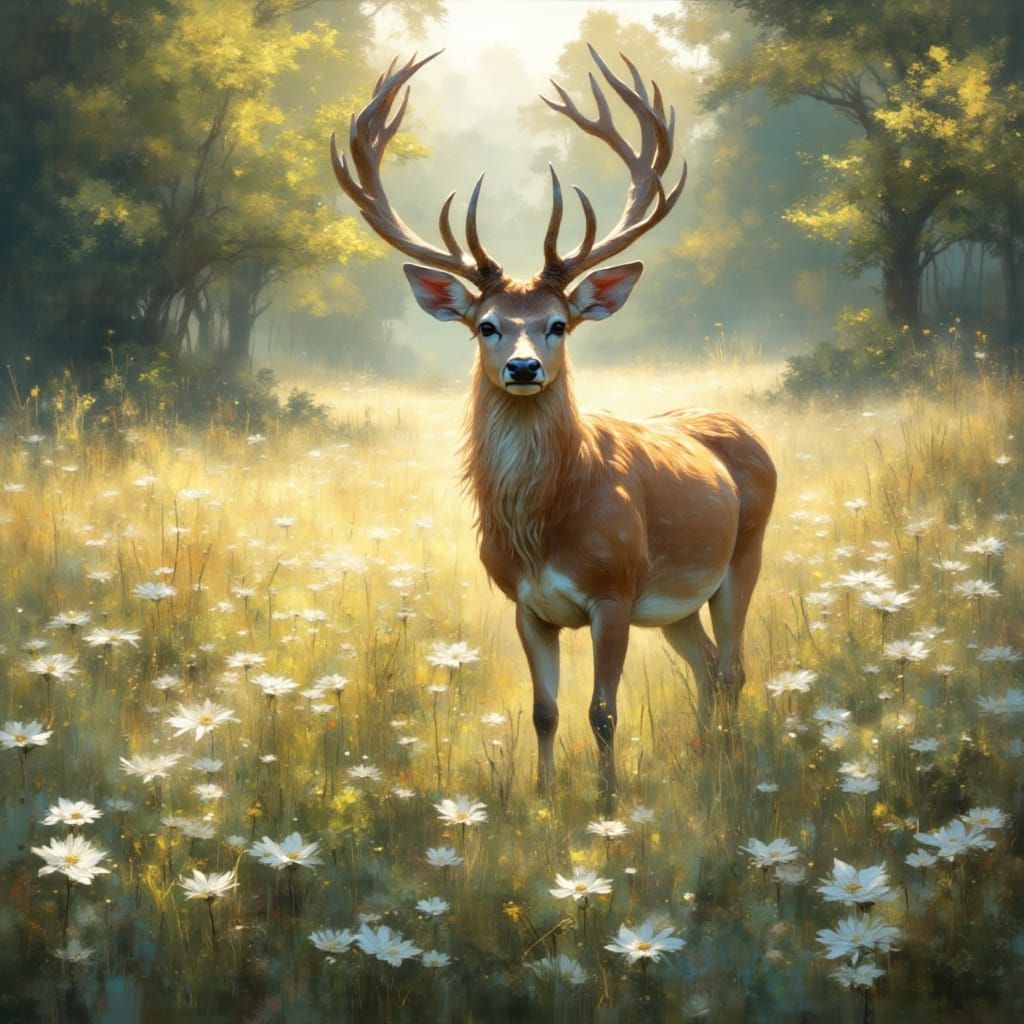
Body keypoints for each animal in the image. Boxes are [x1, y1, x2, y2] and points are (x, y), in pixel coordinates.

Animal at [331, 48, 777, 799]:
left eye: (557, 323)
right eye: (486, 325)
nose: (522, 367)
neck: (544, 525)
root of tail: (746, 433)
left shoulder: (615, 590)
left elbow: (602, 711)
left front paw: (607, 799)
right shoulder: (525, 602)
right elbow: (544, 710)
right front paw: (540, 799)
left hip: (743, 554)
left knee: (735, 667)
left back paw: (733, 757)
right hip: (679, 605)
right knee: (707, 664)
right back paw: (706, 752)